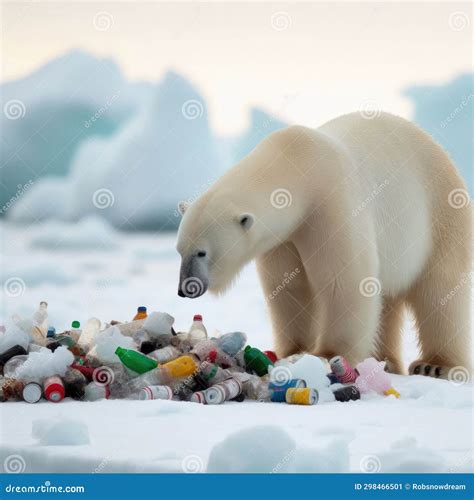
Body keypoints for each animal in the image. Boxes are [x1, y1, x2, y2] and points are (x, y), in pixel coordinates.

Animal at [176, 110, 472, 376]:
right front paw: (293, 351)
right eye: (180, 250)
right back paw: (385, 362)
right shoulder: (284, 238)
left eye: (202, 252)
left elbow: (344, 282)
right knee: (387, 299)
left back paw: (435, 365)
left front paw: (328, 355)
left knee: (440, 291)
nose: (184, 289)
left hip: (440, 213)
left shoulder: (331, 203)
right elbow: (289, 288)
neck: (298, 165)